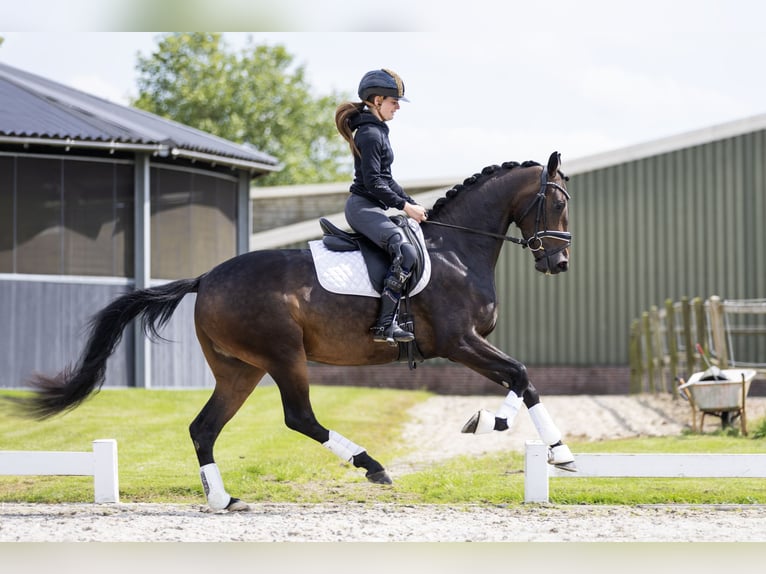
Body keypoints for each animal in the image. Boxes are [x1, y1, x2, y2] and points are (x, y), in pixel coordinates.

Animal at [15, 151, 576, 510]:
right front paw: (521, 437)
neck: (455, 250)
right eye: (558, 203)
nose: (560, 263)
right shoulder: (459, 343)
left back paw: (223, 500)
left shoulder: (467, 345)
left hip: (238, 370)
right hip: (283, 356)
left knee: (204, 428)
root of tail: (206, 278)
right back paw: (372, 466)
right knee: (298, 417)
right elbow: (520, 374)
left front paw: (537, 444)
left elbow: (521, 380)